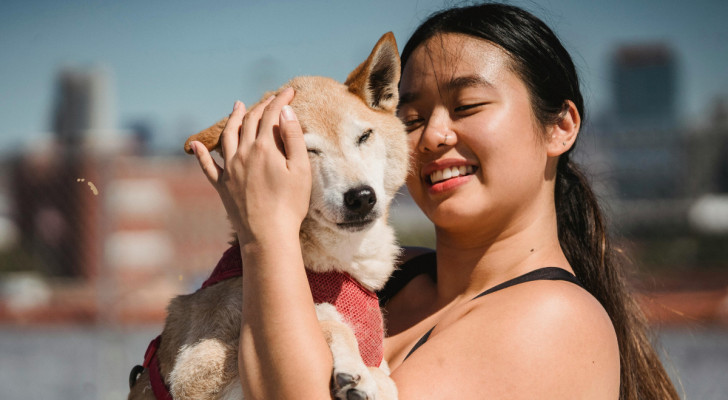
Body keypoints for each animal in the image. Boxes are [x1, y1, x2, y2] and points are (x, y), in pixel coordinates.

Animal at [127, 33, 406, 400]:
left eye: (364, 137)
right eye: (306, 151)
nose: (361, 197)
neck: (338, 266)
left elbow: (387, 376)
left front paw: (371, 378)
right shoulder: (195, 374)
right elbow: (327, 318)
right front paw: (355, 370)